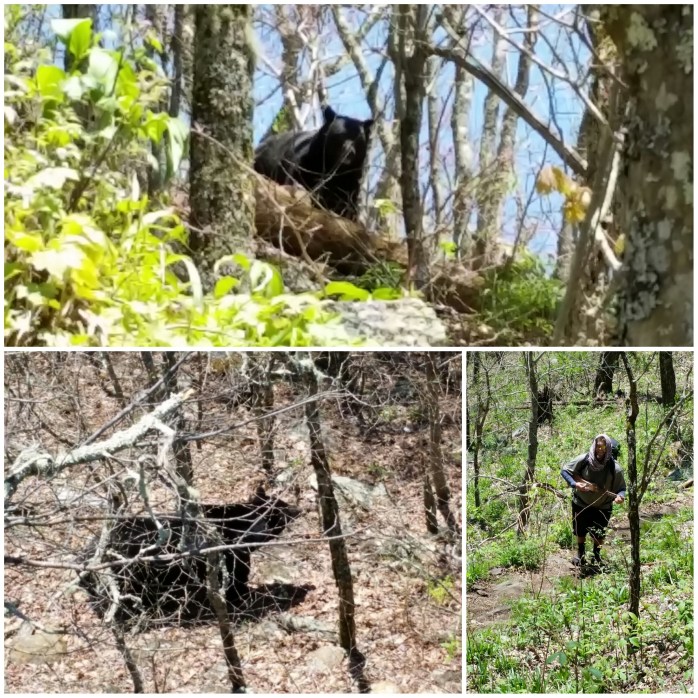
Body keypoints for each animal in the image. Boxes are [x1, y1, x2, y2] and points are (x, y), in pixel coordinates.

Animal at [78, 488, 301, 625]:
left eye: (282, 502)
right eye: (280, 511)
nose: (299, 508)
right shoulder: (232, 558)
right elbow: (236, 581)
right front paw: (243, 600)